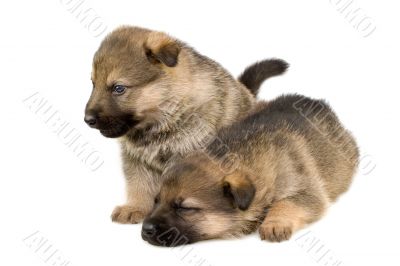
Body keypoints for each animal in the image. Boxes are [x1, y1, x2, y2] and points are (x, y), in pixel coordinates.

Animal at [84, 25, 288, 224]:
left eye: (118, 88)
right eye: (93, 84)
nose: (87, 120)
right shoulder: (136, 159)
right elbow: (138, 184)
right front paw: (135, 207)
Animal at [141, 94, 360, 246]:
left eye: (185, 208)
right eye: (156, 201)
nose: (145, 229)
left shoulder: (306, 189)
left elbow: (286, 203)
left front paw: (274, 223)